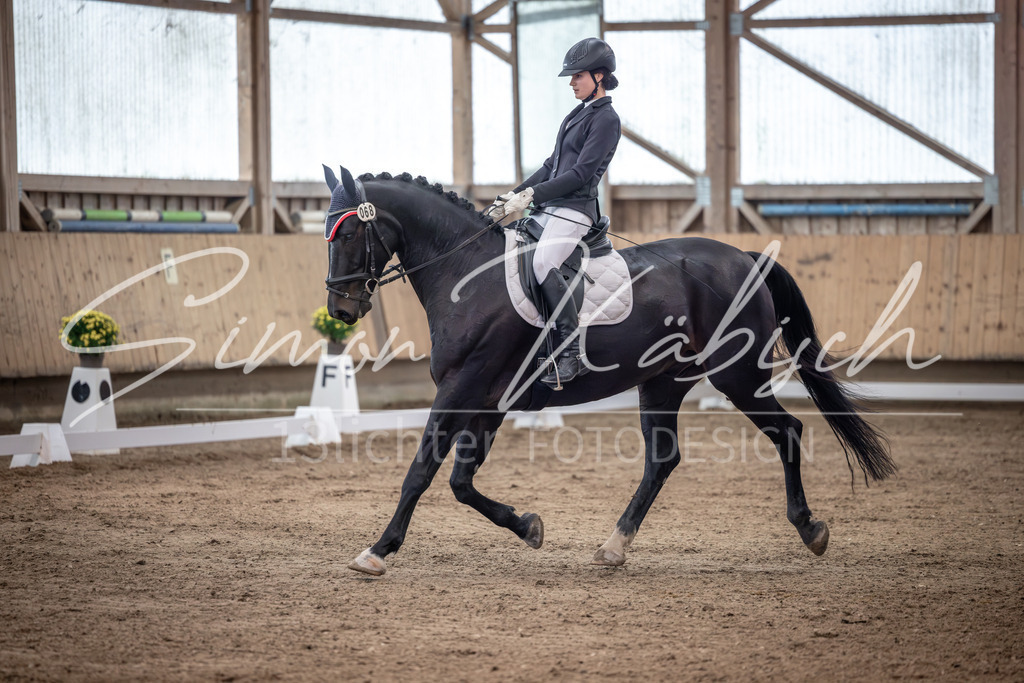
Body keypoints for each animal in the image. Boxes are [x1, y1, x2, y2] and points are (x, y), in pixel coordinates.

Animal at [322, 165, 894, 576]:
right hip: (663, 382)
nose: (341, 311)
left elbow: (421, 472)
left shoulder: (462, 388)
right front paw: (529, 526)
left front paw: (378, 550)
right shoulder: (488, 399)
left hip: (738, 376)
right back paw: (614, 546)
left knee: (787, 431)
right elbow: (461, 481)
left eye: (348, 235)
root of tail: (745, 258)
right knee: (663, 459)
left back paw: (810, 529)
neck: (467, 274)